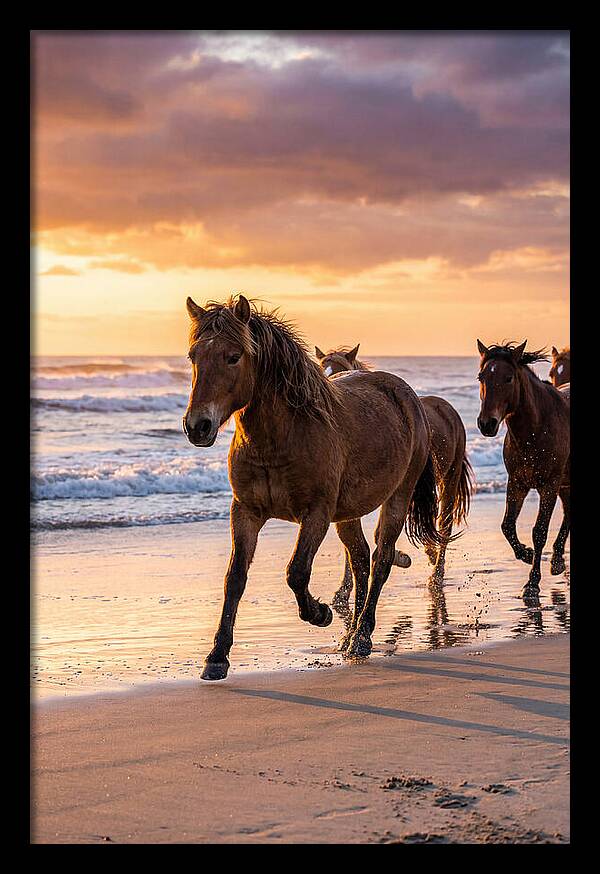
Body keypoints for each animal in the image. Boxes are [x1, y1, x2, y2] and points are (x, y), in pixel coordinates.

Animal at [183, 294, 445, 679]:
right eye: (193, 356)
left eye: (233, 356)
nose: (197, 426)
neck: (281, 437)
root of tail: (408, 397)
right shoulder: (245, 512)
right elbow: (235, 578)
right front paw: (217, 657)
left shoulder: (316, 514)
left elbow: (296, 572)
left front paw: (320, 613)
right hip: (347, 515)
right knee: (360, 560)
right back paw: (350, 637)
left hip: (396, 499)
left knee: (380, 559)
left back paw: (362, 637)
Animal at [315, 344, 473, 594]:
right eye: (322, 368)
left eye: (341, 369)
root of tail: (447, 408)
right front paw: (344, 588)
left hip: (449, 479)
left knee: (444, 526)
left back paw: (436, 575)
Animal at [476, 340, 570, 597]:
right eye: (481, 377)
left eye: (508, 378)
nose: (486, 424)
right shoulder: (517, 483)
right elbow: (507, 525)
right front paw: (525, 554)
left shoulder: (549, 485)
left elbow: (539, 531)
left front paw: (532, 582)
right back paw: (557, 560)